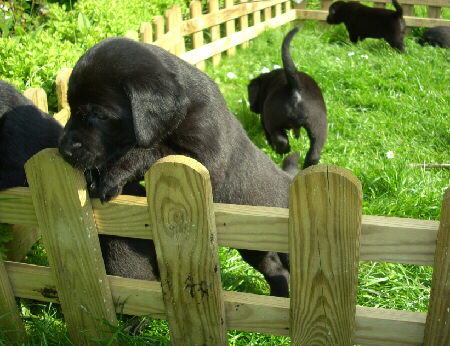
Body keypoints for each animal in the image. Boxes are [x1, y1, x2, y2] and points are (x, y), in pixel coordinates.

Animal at [58, 37, 300, 298]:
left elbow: (150, 150)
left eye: (99, 114)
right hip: (253, 248)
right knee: (274, 267)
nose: (64, 150)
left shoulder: (205, 158)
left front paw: (111, 176)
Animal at [246, 26, 326, 168]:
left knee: (280, 139)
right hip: (319, 124)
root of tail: (295, 88)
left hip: (272, 122)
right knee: (314, 151)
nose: (251, 108)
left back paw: (283, 151)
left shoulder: (264, 119)